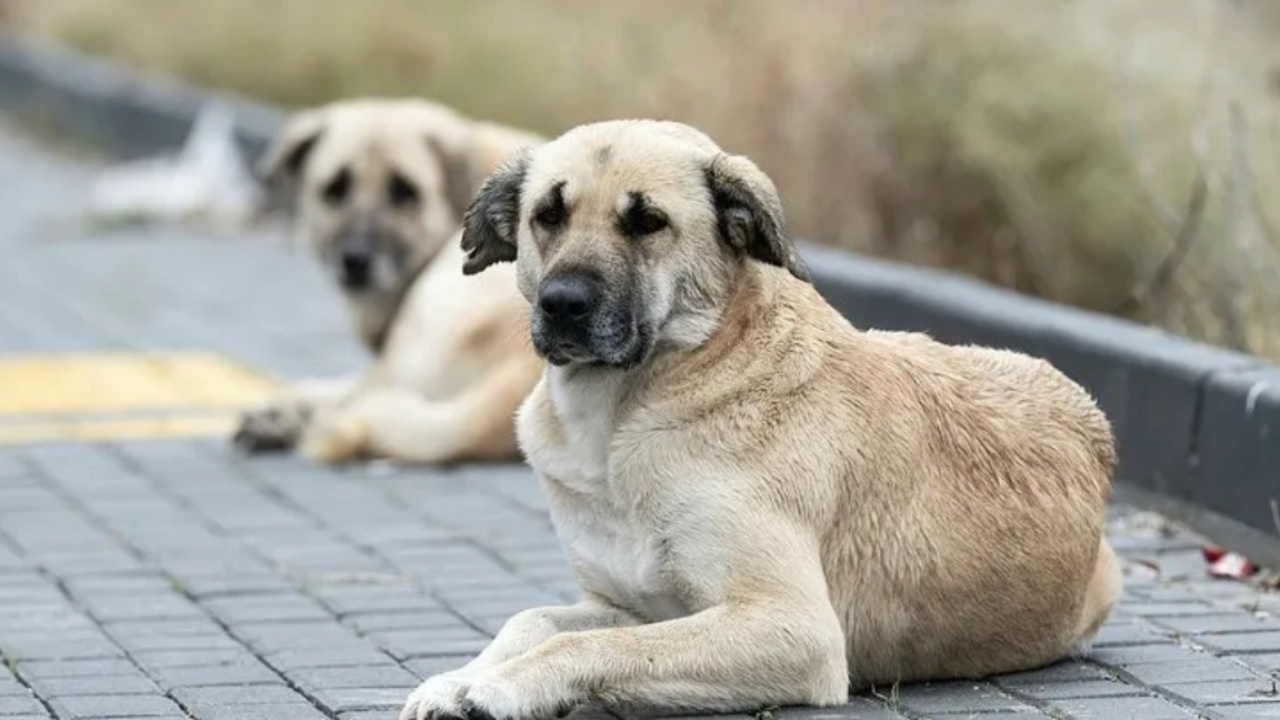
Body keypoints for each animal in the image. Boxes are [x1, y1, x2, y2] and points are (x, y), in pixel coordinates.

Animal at [399, 119, 1121, 717]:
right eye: (546, 215)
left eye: (648, 221)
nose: (561, 303)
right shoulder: (629, 606)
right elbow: (531, 620)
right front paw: (459, 679)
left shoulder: (791, 626)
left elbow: (581, 648)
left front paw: (501, 687)